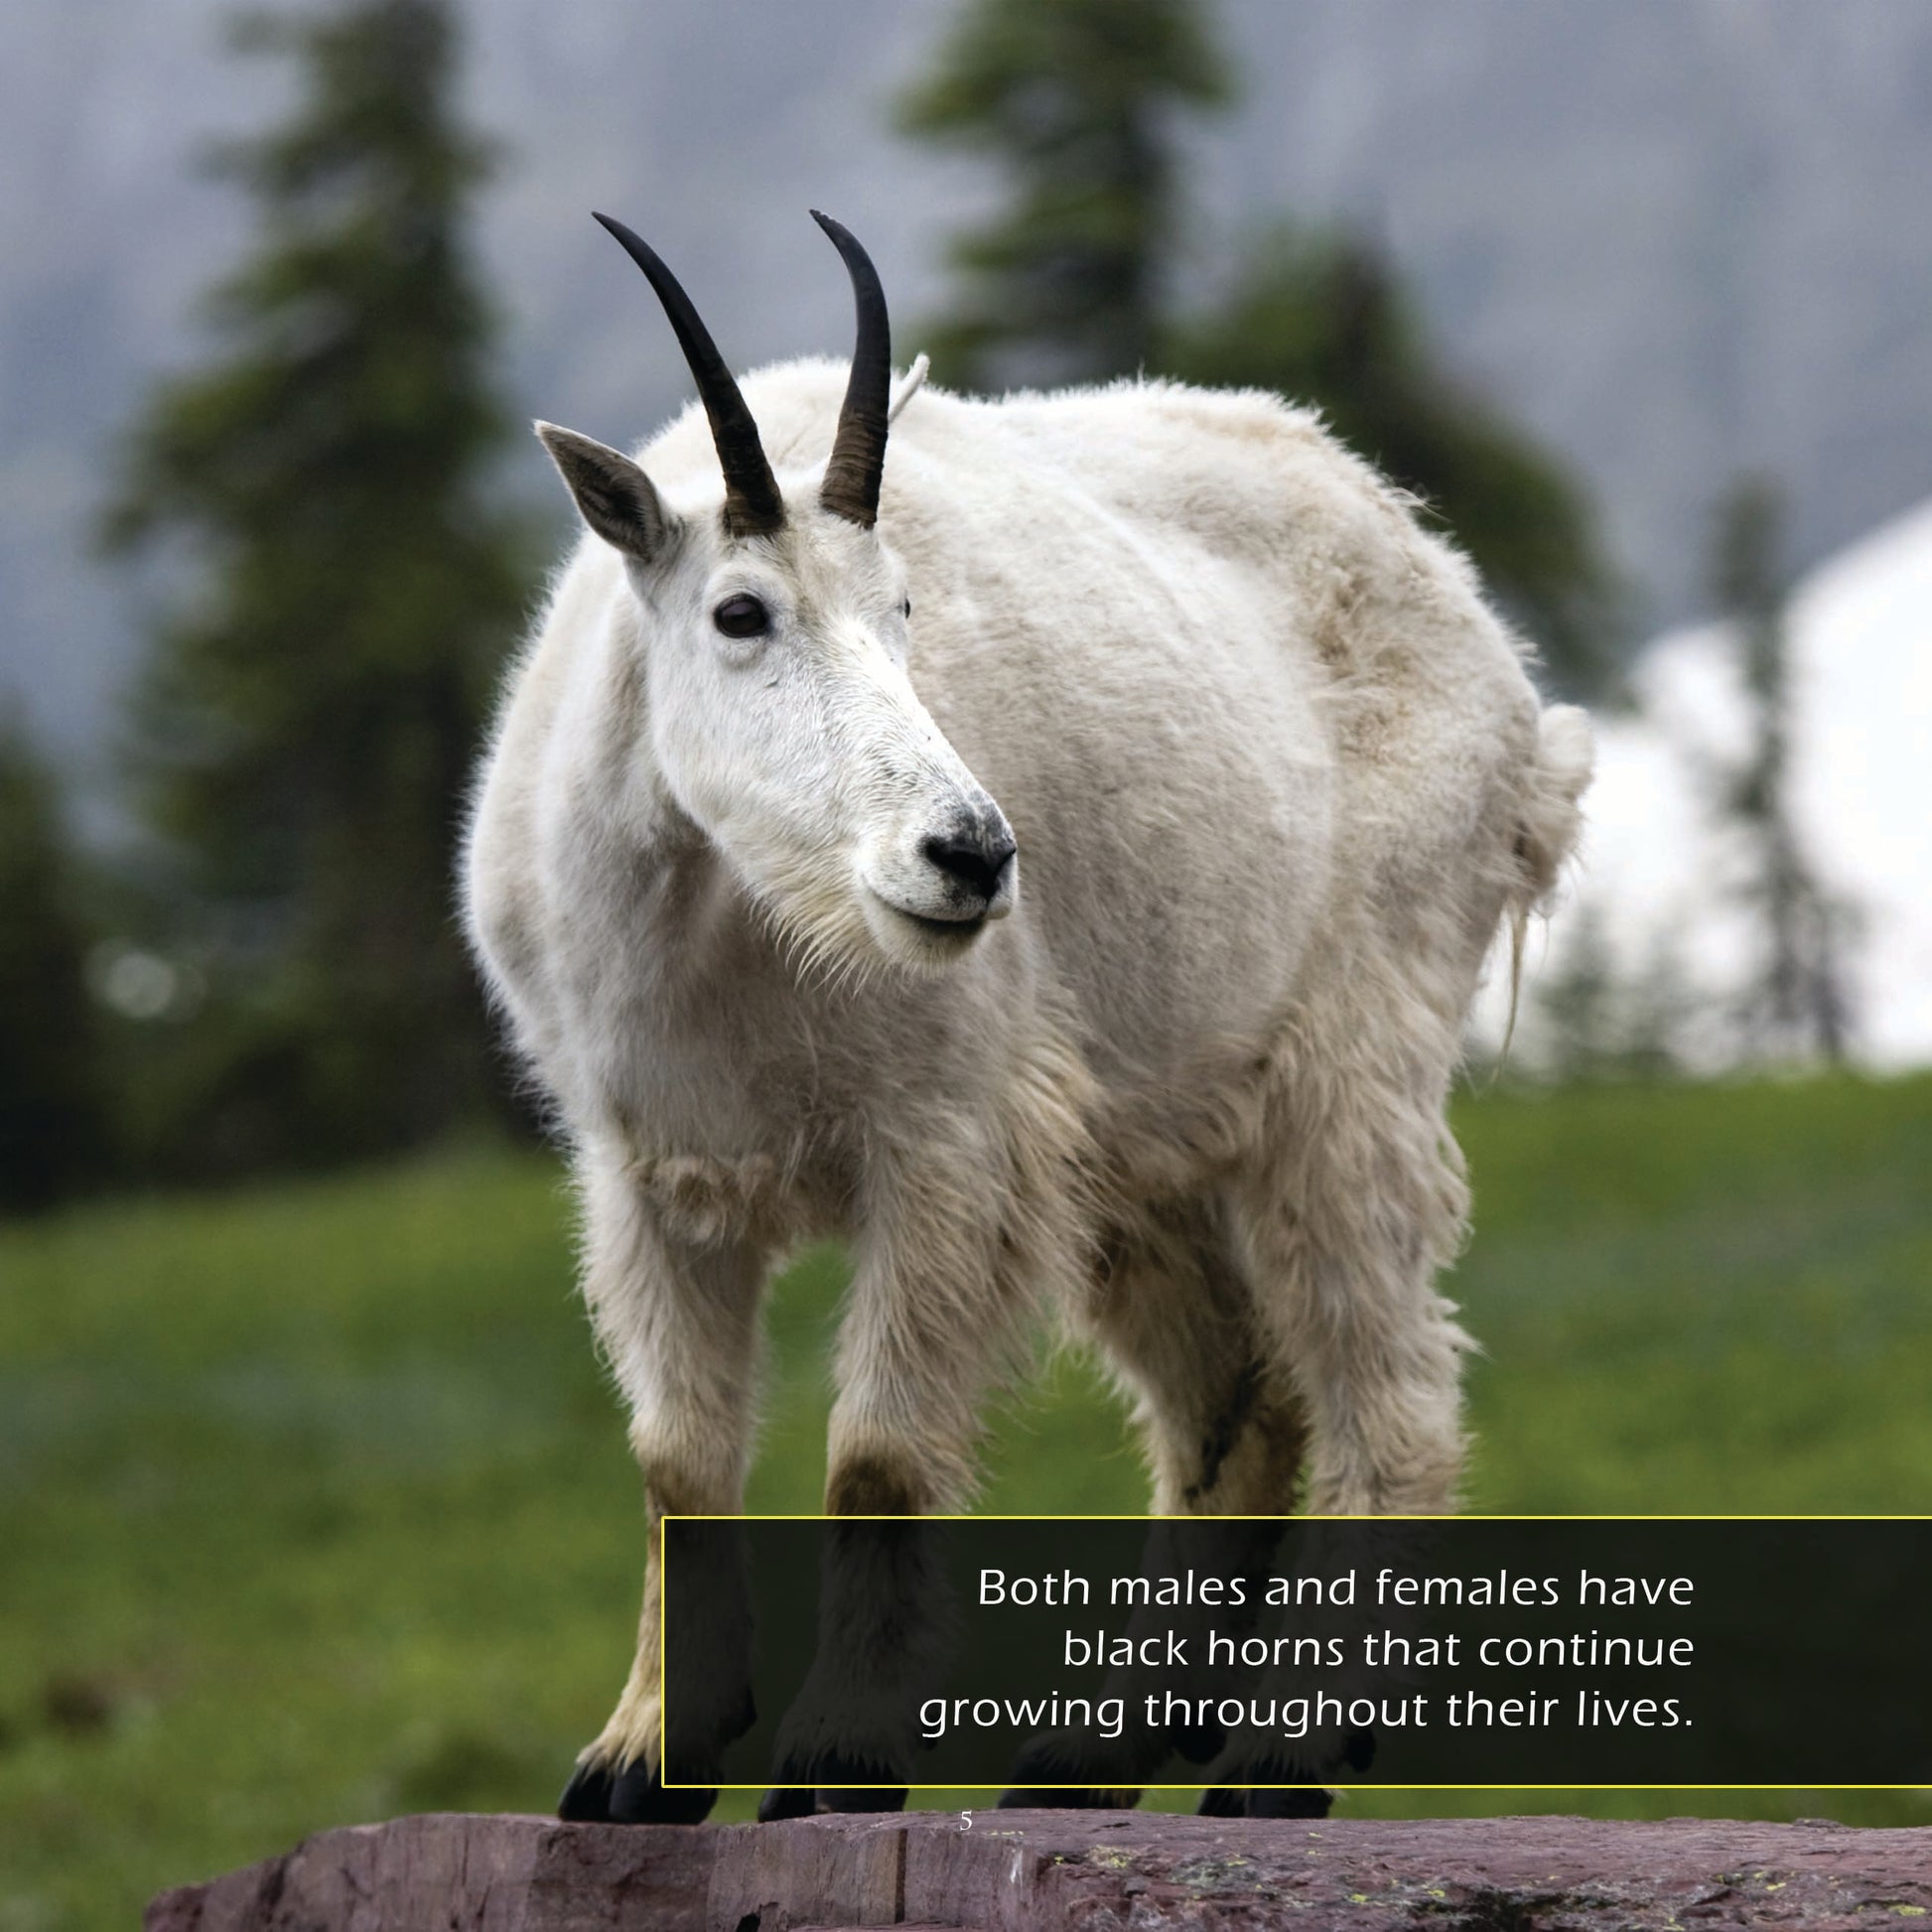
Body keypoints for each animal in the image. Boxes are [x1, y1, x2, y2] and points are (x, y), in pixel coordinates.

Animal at [462, 210, 1593, 1822]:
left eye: (904, 611)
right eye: (741, 612)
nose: (970, 855)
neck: (734, 924)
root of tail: (1488, 649)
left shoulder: (946, 1140)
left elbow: (873, 1455)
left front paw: (834, 1758)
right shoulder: (651, 1175)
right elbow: (674, 1460)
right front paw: (637, 1758)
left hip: (1346, 1067)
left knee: (1385, 1376)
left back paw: (1283, 1752)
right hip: (1147, 1131)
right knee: (1230, 1394)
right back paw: (1096, 1746)